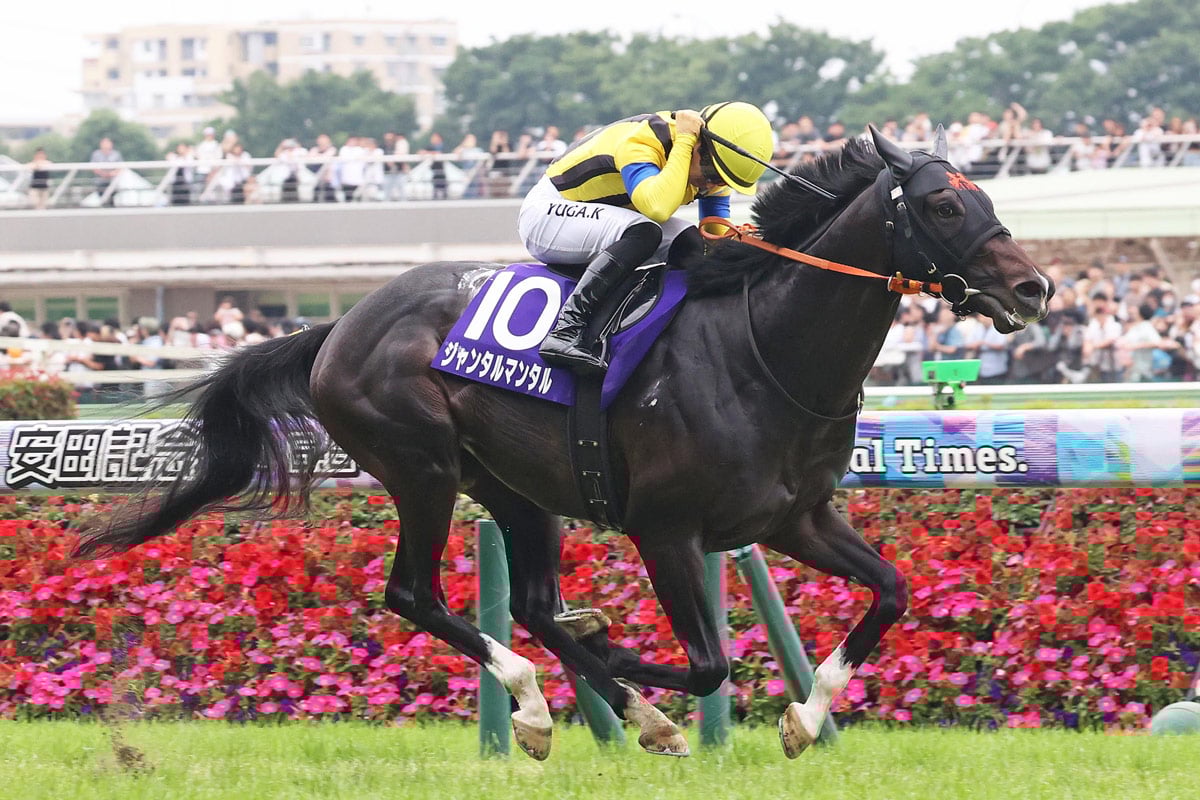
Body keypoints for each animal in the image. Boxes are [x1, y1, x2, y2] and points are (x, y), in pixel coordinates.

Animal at [74, 126, 1052, 761]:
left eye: (987, 198)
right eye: (943, 203)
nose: (1034, 288)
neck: (762, 348)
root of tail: (338, 326)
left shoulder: (795, 517)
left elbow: (891, 590)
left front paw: (803, 720)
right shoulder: (667, 530)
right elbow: (709, 664)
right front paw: (628, 667)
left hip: (516, 485)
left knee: (536, 604)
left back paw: (602, 703)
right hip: (421, 465)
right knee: (416, 595)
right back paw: (549, 705)